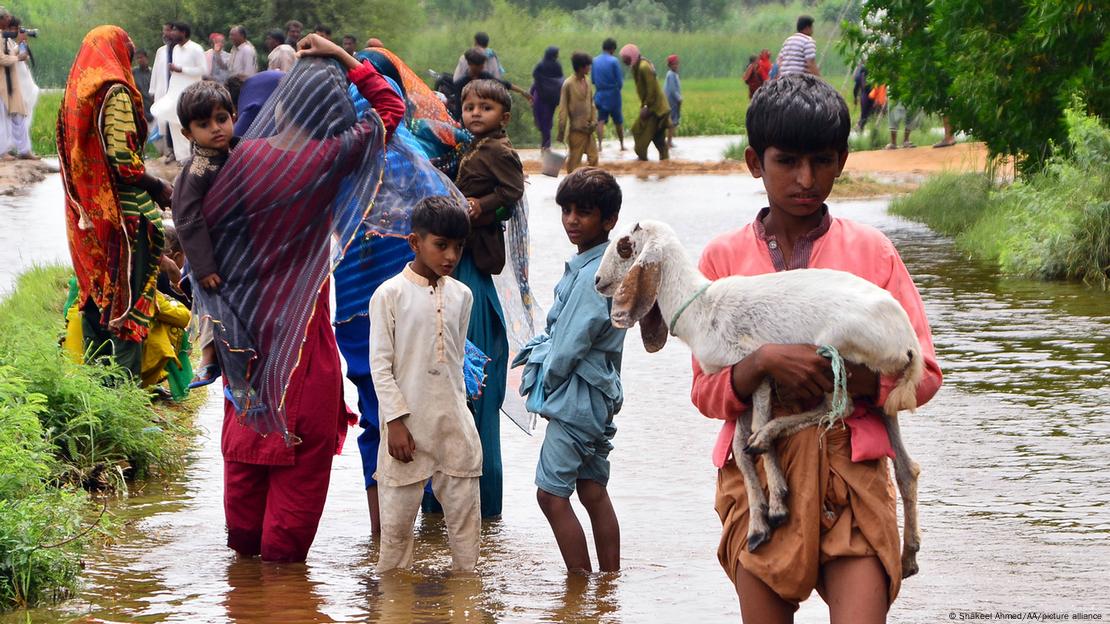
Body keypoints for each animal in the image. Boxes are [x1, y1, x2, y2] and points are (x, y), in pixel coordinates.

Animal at [594, 219, 923, 577]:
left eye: (625, 246)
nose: (597, 281)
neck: (702, 307)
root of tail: (909, 343)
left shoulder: (759, 369)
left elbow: (748, 439)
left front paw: (776, 505)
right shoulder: (738, 383)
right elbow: (739, 450)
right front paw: (759, 525)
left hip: (834, 352)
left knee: (840, 406)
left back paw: (769, 434)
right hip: (880, 393)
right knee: (906, 467)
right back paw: (909, 556)